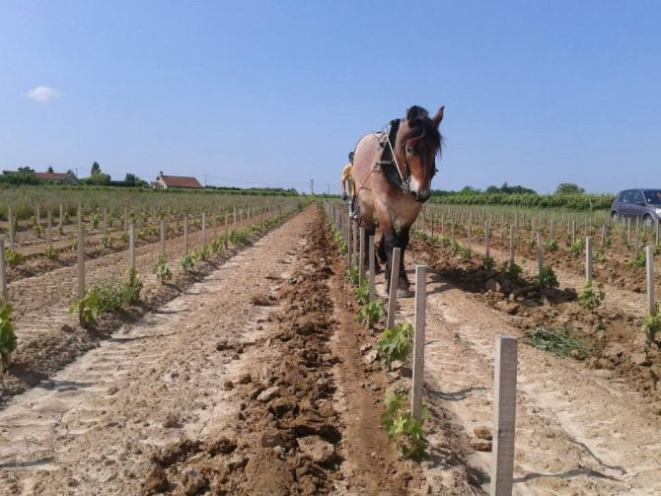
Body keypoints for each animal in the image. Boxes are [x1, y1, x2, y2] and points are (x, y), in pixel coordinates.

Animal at [354, 104, 440, 294]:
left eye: (435, 150)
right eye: (410, 149)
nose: (422, 193)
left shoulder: (411, 211)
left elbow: (401, 241)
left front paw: (397, 275)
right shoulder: (383, 206)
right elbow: (392, 240)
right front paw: (397, 283)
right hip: (365, 204)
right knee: (369, 231)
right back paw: (370, 264)